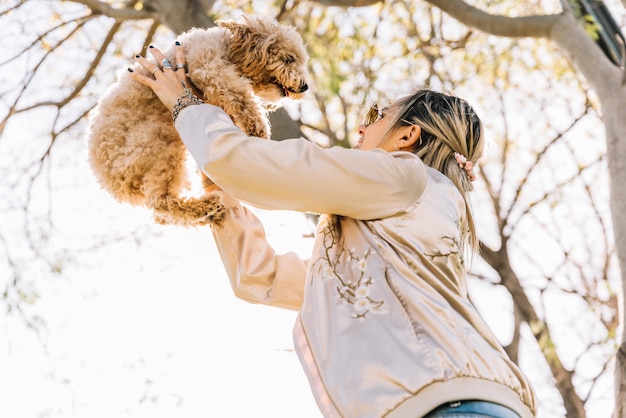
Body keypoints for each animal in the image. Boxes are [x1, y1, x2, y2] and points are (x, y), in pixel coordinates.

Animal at [87, 14, 308, 227]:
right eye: (289, 58)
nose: (305, 86)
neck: (228, 47)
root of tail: (105, 176)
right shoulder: (211, 71)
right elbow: (243, 99)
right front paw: (259, 131)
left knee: (161, 213)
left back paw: (211, 213)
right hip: (156, 144)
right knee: (159, 202)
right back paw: (207, 206)